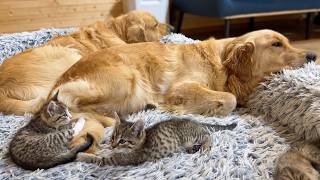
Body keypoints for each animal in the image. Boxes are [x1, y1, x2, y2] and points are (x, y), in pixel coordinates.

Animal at [47, 29, 316, 152]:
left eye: (287, 41)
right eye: (276, 44)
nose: (313, 55)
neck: (223, 62)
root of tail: (59, 80)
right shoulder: (182, 87)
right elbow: (228, 99)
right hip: (128, 78)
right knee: (76, 107)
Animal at [75, 113, 235, 167]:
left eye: (123, 141)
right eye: (113, 137)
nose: (114, 146)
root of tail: (195, 122)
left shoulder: (120, 160)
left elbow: (99, 159)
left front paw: (82, 155)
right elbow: (103, 151)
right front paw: (101, 149)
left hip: (190, 136)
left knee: (207, 135)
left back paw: (204, 147)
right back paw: (192, 149)